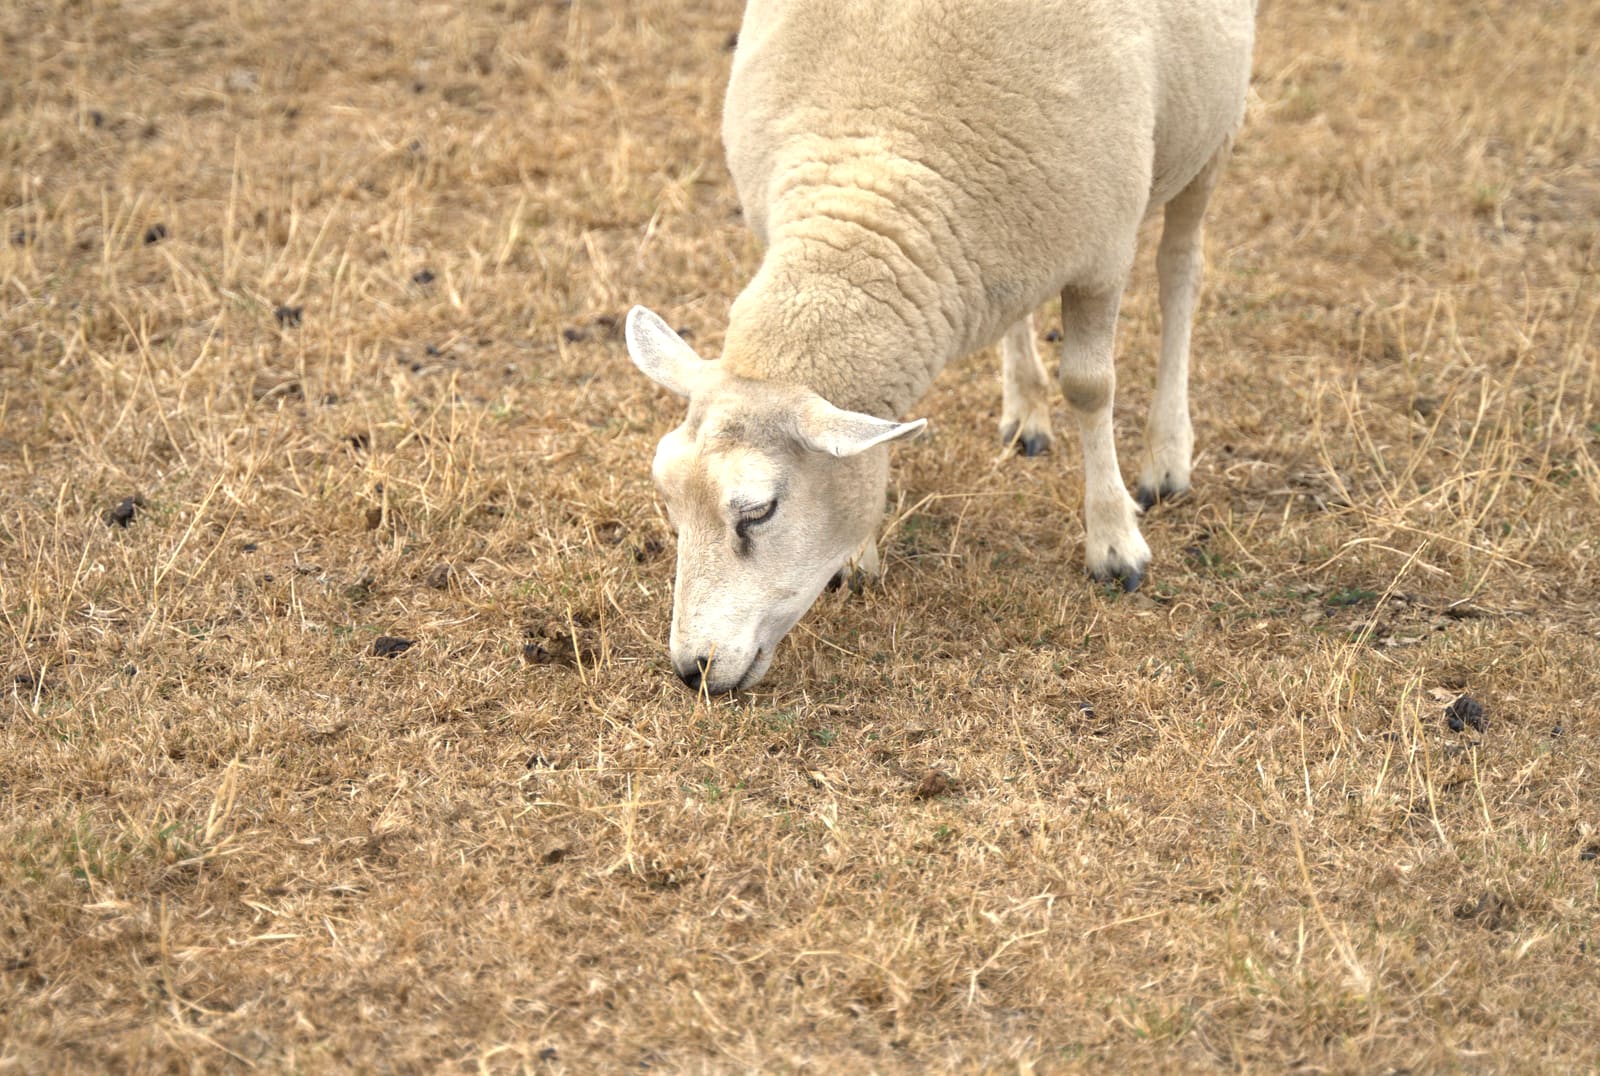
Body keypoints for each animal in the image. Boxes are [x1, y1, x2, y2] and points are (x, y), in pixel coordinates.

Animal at [627, 0, 1256, 693]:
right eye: (668, 499)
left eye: (760, 512)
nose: (693, 669)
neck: (871, 175)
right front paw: (857, 554)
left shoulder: (1102, 257)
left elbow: (1091, 389)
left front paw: (1115, 543)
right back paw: (1025, 412)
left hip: (1211, 130)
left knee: (1180, 270)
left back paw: (1167, 455)